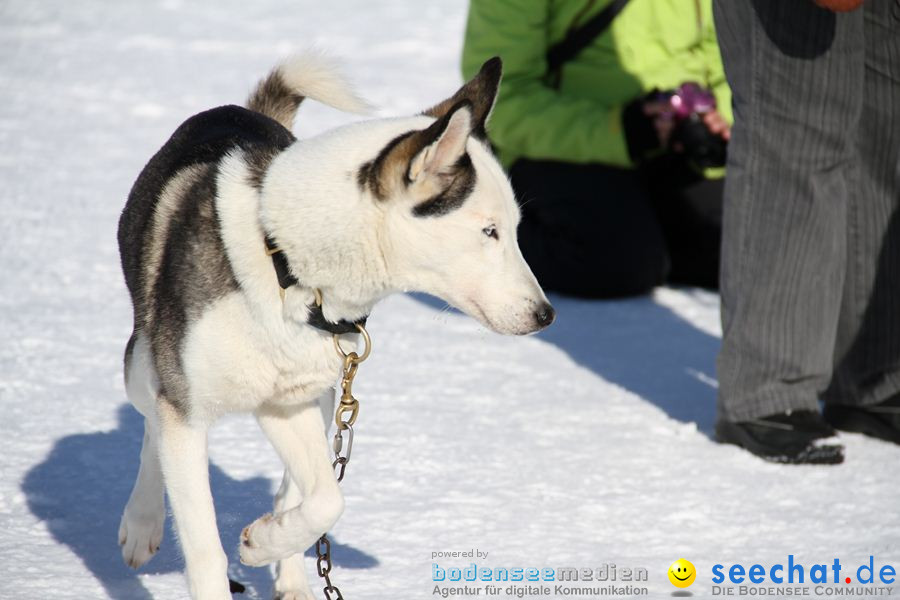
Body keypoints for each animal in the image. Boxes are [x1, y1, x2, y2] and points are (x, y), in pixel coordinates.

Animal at [118, 54, 556, 596]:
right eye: (489, 231)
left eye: (512, 230)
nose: (546, 314)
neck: (285, 263)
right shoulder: (184, 408)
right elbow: (204, 550)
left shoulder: (290, 405)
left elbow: (328, 500)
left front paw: (265, 542)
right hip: (143, 369)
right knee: (151, 424)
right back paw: (143, 522)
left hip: (316, 395)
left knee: (298, 488)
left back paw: (291, 576)